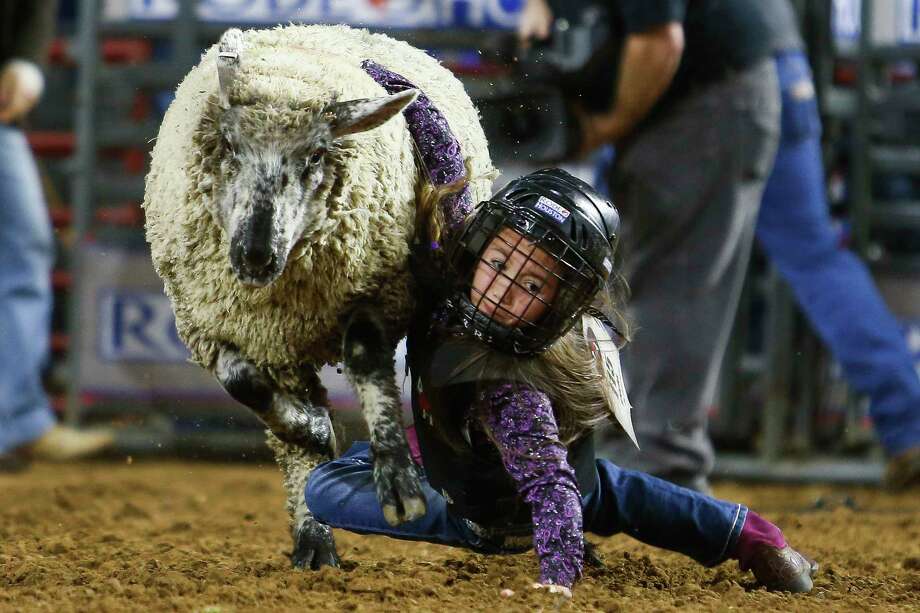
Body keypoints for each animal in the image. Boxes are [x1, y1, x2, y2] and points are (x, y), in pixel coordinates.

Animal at [146, 23, 496, 568]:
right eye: (230, 146)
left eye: (314, 154)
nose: (255, 255)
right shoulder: (207, 323)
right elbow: (244, 384)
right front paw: (315, 429)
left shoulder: (381, 294)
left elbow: (367, 363)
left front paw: (398, 482)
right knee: (291, 441)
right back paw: (313, 536)